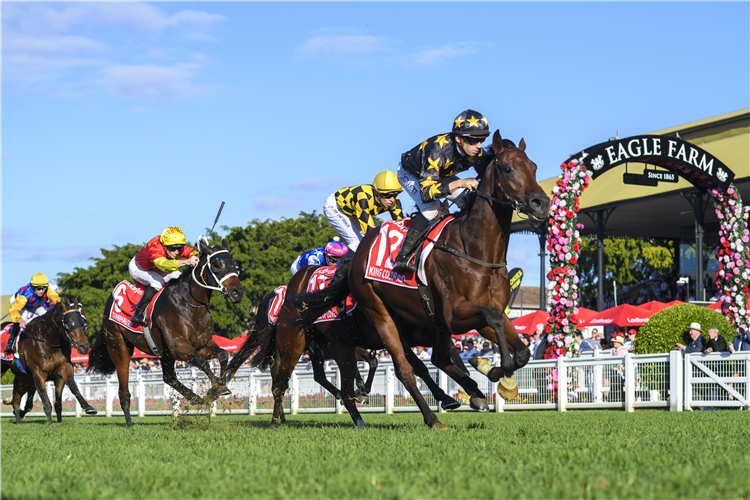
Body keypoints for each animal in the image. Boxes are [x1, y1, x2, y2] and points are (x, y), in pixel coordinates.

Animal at [87, 240, 244, 428]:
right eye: (217, 264)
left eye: (235, 263)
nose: (237, 292)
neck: (190, 305)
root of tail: (111, 298)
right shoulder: (179, 347)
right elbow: (204, 364)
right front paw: (217, 389)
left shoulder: (202, 345)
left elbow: (223, 355)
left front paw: (216, 389)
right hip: (120, 349)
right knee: (124, 389)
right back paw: (130, 424)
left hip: (163, 353)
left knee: (169, 377)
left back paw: (196, 398)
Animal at [294, 133, 552, 430]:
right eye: (508, 168)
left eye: (533, 167)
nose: (541, 203)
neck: (475, 249)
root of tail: (358, 255)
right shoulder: (455, 315)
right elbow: (495, 322)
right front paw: (496, 373)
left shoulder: (477, 316)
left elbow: (521, 350)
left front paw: (493, 373)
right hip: (380, 316)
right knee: (404, 369)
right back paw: (432, 417)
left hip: (422, 322)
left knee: (434, 357)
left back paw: (463, 396)